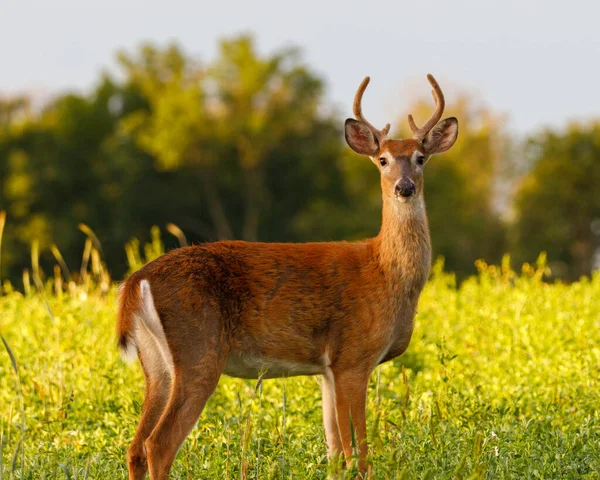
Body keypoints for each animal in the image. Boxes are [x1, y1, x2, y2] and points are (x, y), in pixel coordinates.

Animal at [117, 73, 460, 478]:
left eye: (421, 158)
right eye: (383, 159)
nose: (403, 187)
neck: (386, 272)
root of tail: (137, 281)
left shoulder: (327, 369)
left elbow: (334, 453)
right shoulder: (353, 357)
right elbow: (358, 455)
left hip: (156, 364)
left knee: (135, 446)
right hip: (198, 348)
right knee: (159, 443)